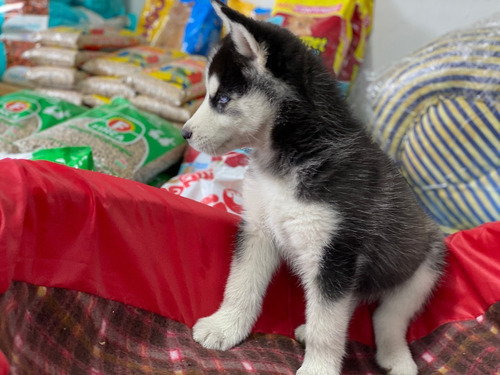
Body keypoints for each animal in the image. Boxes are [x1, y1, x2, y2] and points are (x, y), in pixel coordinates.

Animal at [183, 1, 446, 374]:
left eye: (221, 99)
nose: (184, 134)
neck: (287, 161)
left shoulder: (334, 252)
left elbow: (328, 323)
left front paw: (318, 367)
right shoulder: (259, 228)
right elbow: (240, 285)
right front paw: (225, 327)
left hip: (423, 269)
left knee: (386, 318)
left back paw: (397, 358)